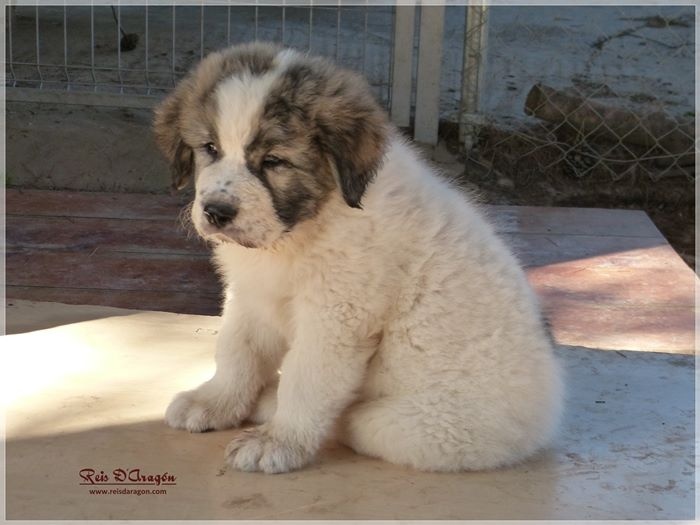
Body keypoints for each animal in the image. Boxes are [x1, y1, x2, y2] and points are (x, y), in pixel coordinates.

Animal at [154, 42, 563, 474]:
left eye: (274, 162)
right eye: (210, 149)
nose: (216, 212)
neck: (304, 227)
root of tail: (549, 413)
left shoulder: (337, 315)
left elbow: (305, 378)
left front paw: (279, 441)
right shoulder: (252, 294)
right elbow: (236, 349)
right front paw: (214, 402)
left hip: (423, 426)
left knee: (350, 418)